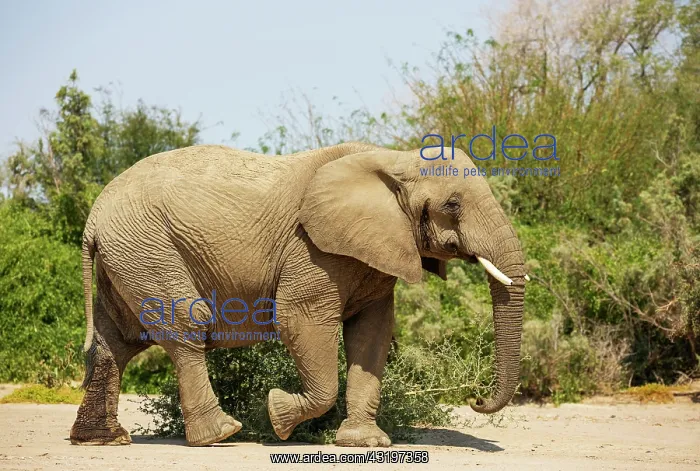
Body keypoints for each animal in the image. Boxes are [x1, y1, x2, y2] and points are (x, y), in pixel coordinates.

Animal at [69, 142, 526, 447]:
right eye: (453, 204)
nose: (475, 398)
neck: (394, 157)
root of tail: (92, 218)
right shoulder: (312, 248)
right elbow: (299, 320)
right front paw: (278, 414)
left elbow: (372, 334)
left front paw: (365, 444)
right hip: (148, 248)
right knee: (186, 325)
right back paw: (221, 434)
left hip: (129, 254)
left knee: (118, 340)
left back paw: (103, 440)